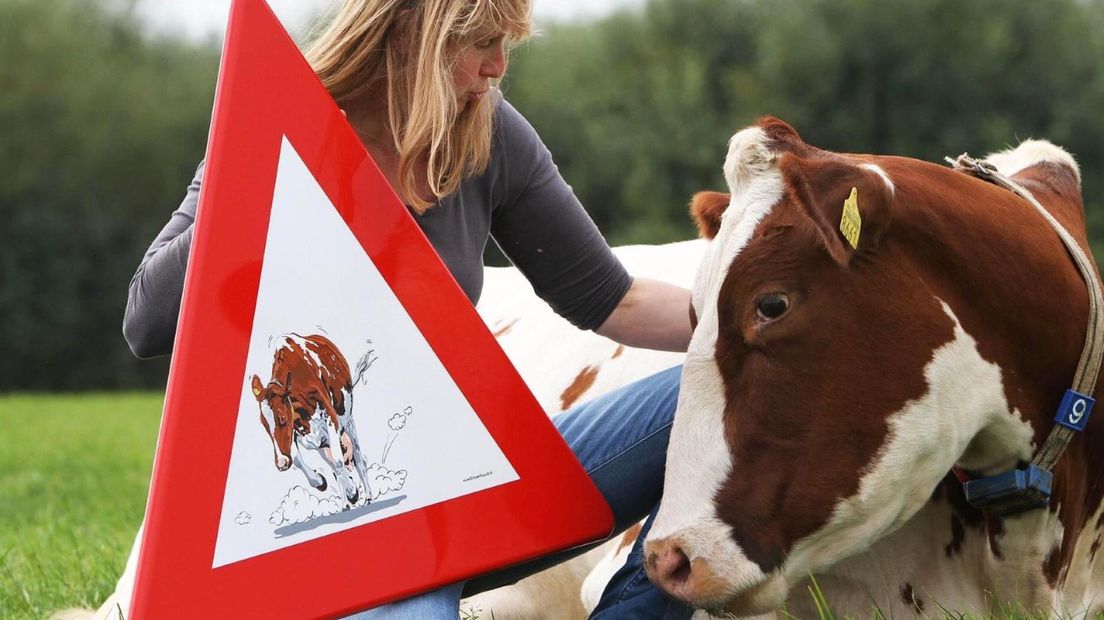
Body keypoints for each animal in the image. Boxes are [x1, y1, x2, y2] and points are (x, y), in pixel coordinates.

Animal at [250, 333, 370, 503]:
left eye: (282, 418)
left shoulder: (331, 420)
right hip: (323, 440)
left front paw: (352, 491)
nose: (281, 463)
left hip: (346, 418)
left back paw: (368, 497)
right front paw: (319, 481)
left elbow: (338, 461)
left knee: (358, 458)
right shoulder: (297, 431)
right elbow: (297, 459)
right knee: (333, 464)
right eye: (264, 424)